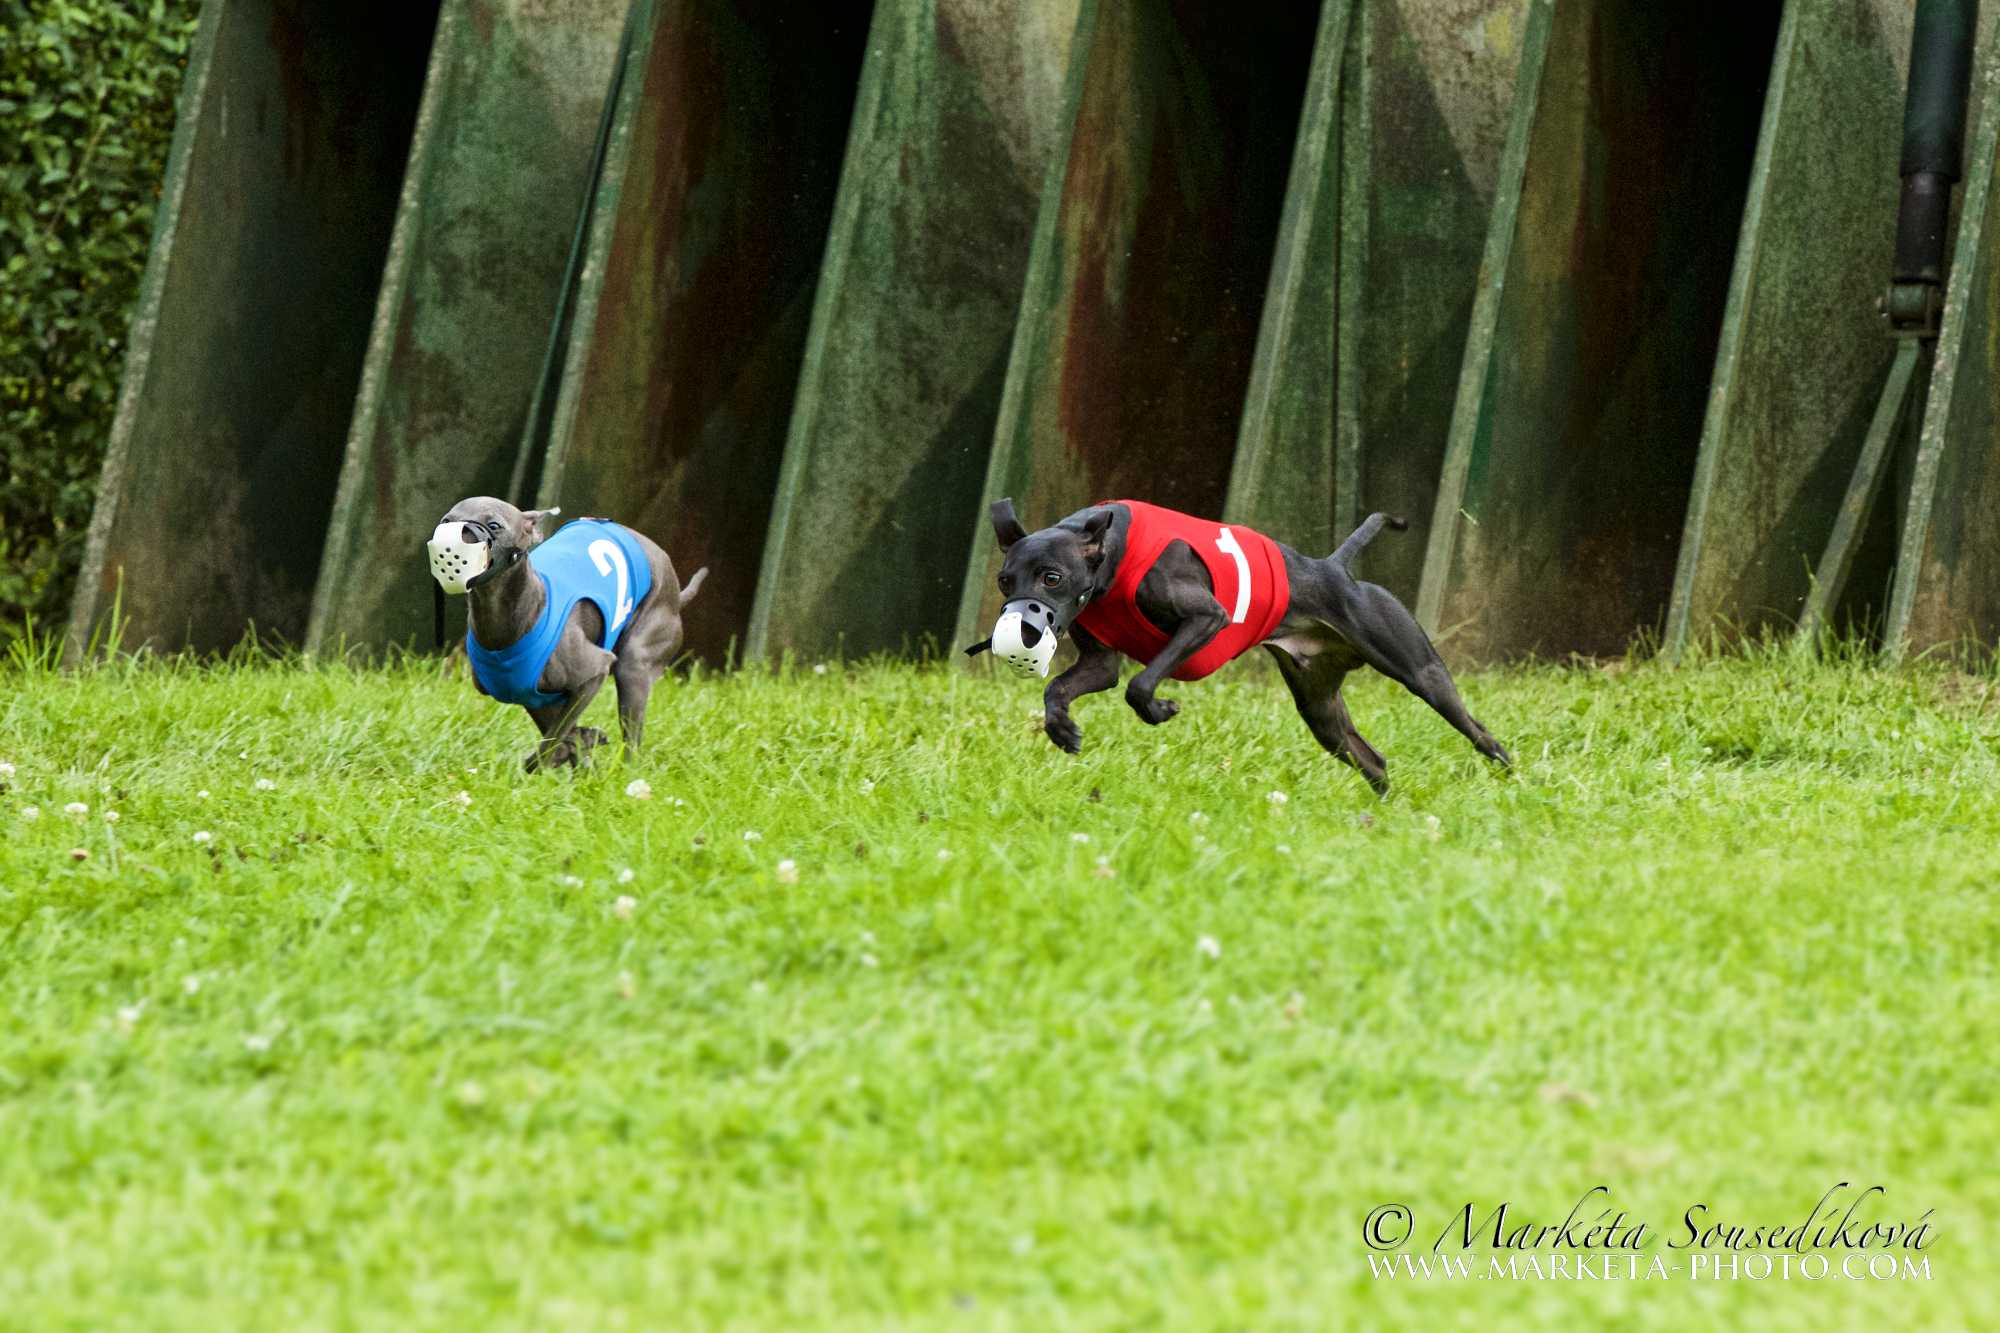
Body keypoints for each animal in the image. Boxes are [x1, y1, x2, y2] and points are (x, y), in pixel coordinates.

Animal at [442, 496, 708, 768]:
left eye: (494, 525)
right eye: (446, 521)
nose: (459, 536)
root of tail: (676, 595)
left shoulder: (595, 670)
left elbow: (553, 739)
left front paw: (575, 746)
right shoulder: (530, 693)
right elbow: (561, 734)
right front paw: (582, 745)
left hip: (634, 664)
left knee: (631, 740)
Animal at [964, 496, 1504, 788]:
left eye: (1052, 577)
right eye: (1005, 582)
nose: (1024, 630)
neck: (1111, 554)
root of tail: (1334, 568)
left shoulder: (1207, 618)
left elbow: (1139, 684)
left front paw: (1159, 710)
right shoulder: (1099, 663)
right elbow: (1059, 688)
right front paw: (1062, 730)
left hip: (1420, 672)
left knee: (1480, 732)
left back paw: (1507, 774)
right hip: (1321, 712)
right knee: (1373, 760)